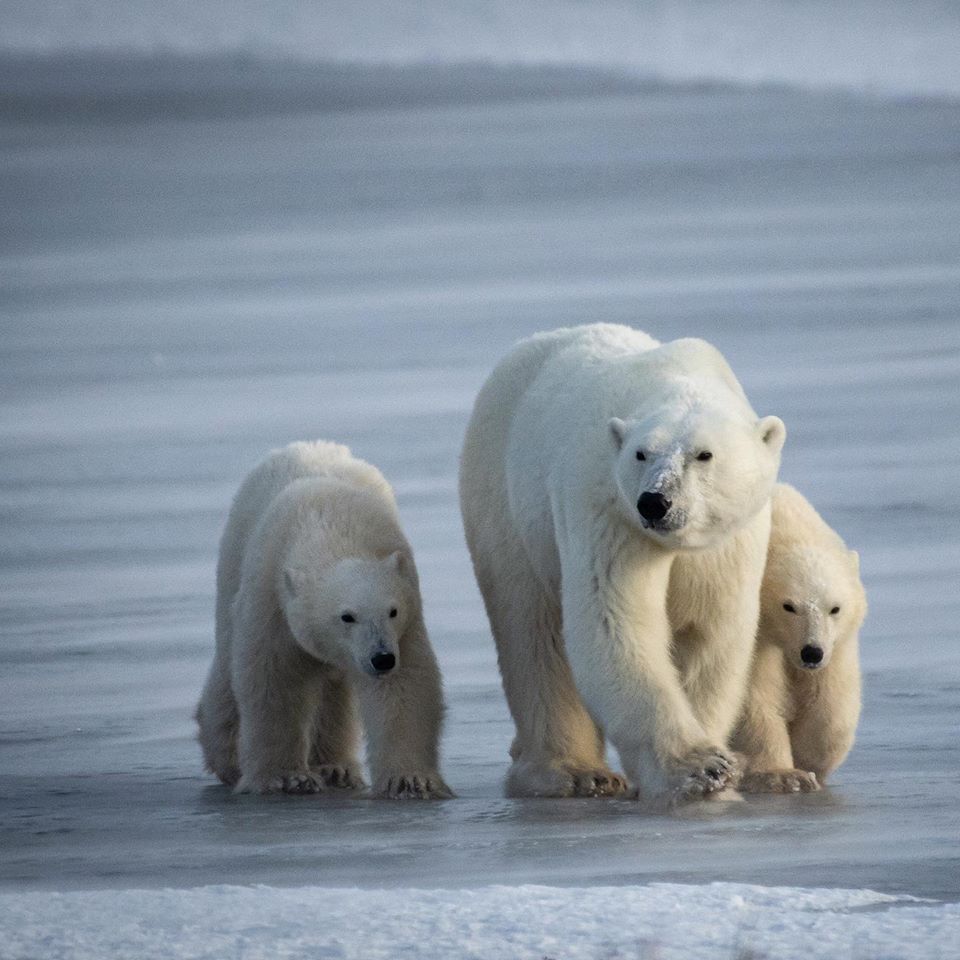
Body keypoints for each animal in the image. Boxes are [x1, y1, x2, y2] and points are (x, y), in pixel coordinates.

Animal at [196, 440, 453, 799]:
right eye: (347, 616)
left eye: (392, 611)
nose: (382, 658)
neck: (329, 526)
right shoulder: (273, 599)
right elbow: (273, 681)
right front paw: (286, 778)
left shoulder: (405, 621)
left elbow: (405, 687)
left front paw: (411, 781)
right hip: (233, 564)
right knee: (227, 662)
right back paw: (227, 759)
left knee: (333, 692)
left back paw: (336, 768)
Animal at [459, 323, 786, 803]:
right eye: (641, 454)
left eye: (703, 454)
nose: (655, 502)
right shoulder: (607, 508)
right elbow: (616, 621)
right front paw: (700, 767)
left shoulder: (728, 542)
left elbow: (710, 630)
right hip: (504, 501)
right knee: (532, 630)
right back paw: (570, 771)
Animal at [733, 483, 866, 793]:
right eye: (789, 606)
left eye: (835, 608)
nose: (812, 653)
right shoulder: (753, 635)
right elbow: (752, 698)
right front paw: (784, 775)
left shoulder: (837, 644)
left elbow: (830, 699)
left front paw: (810, 760)